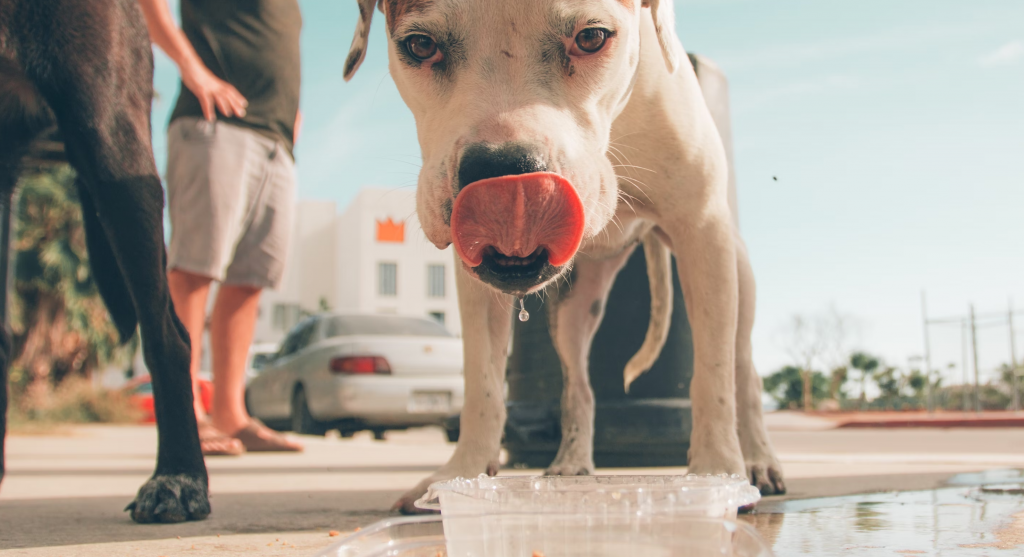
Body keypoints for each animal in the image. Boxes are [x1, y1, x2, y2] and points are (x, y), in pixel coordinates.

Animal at [342, 0, 782, 513]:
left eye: (591, 37)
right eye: (420, 45)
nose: (505, 173)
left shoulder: (702, 230)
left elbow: (711, 377)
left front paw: (716, 473)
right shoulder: (475, 285)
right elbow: (483, 384)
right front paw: (461, 475)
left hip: (736, 276)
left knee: (742, 370)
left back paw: (759, 460)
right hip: (573, 309)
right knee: (579, 387)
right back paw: (572, 463)